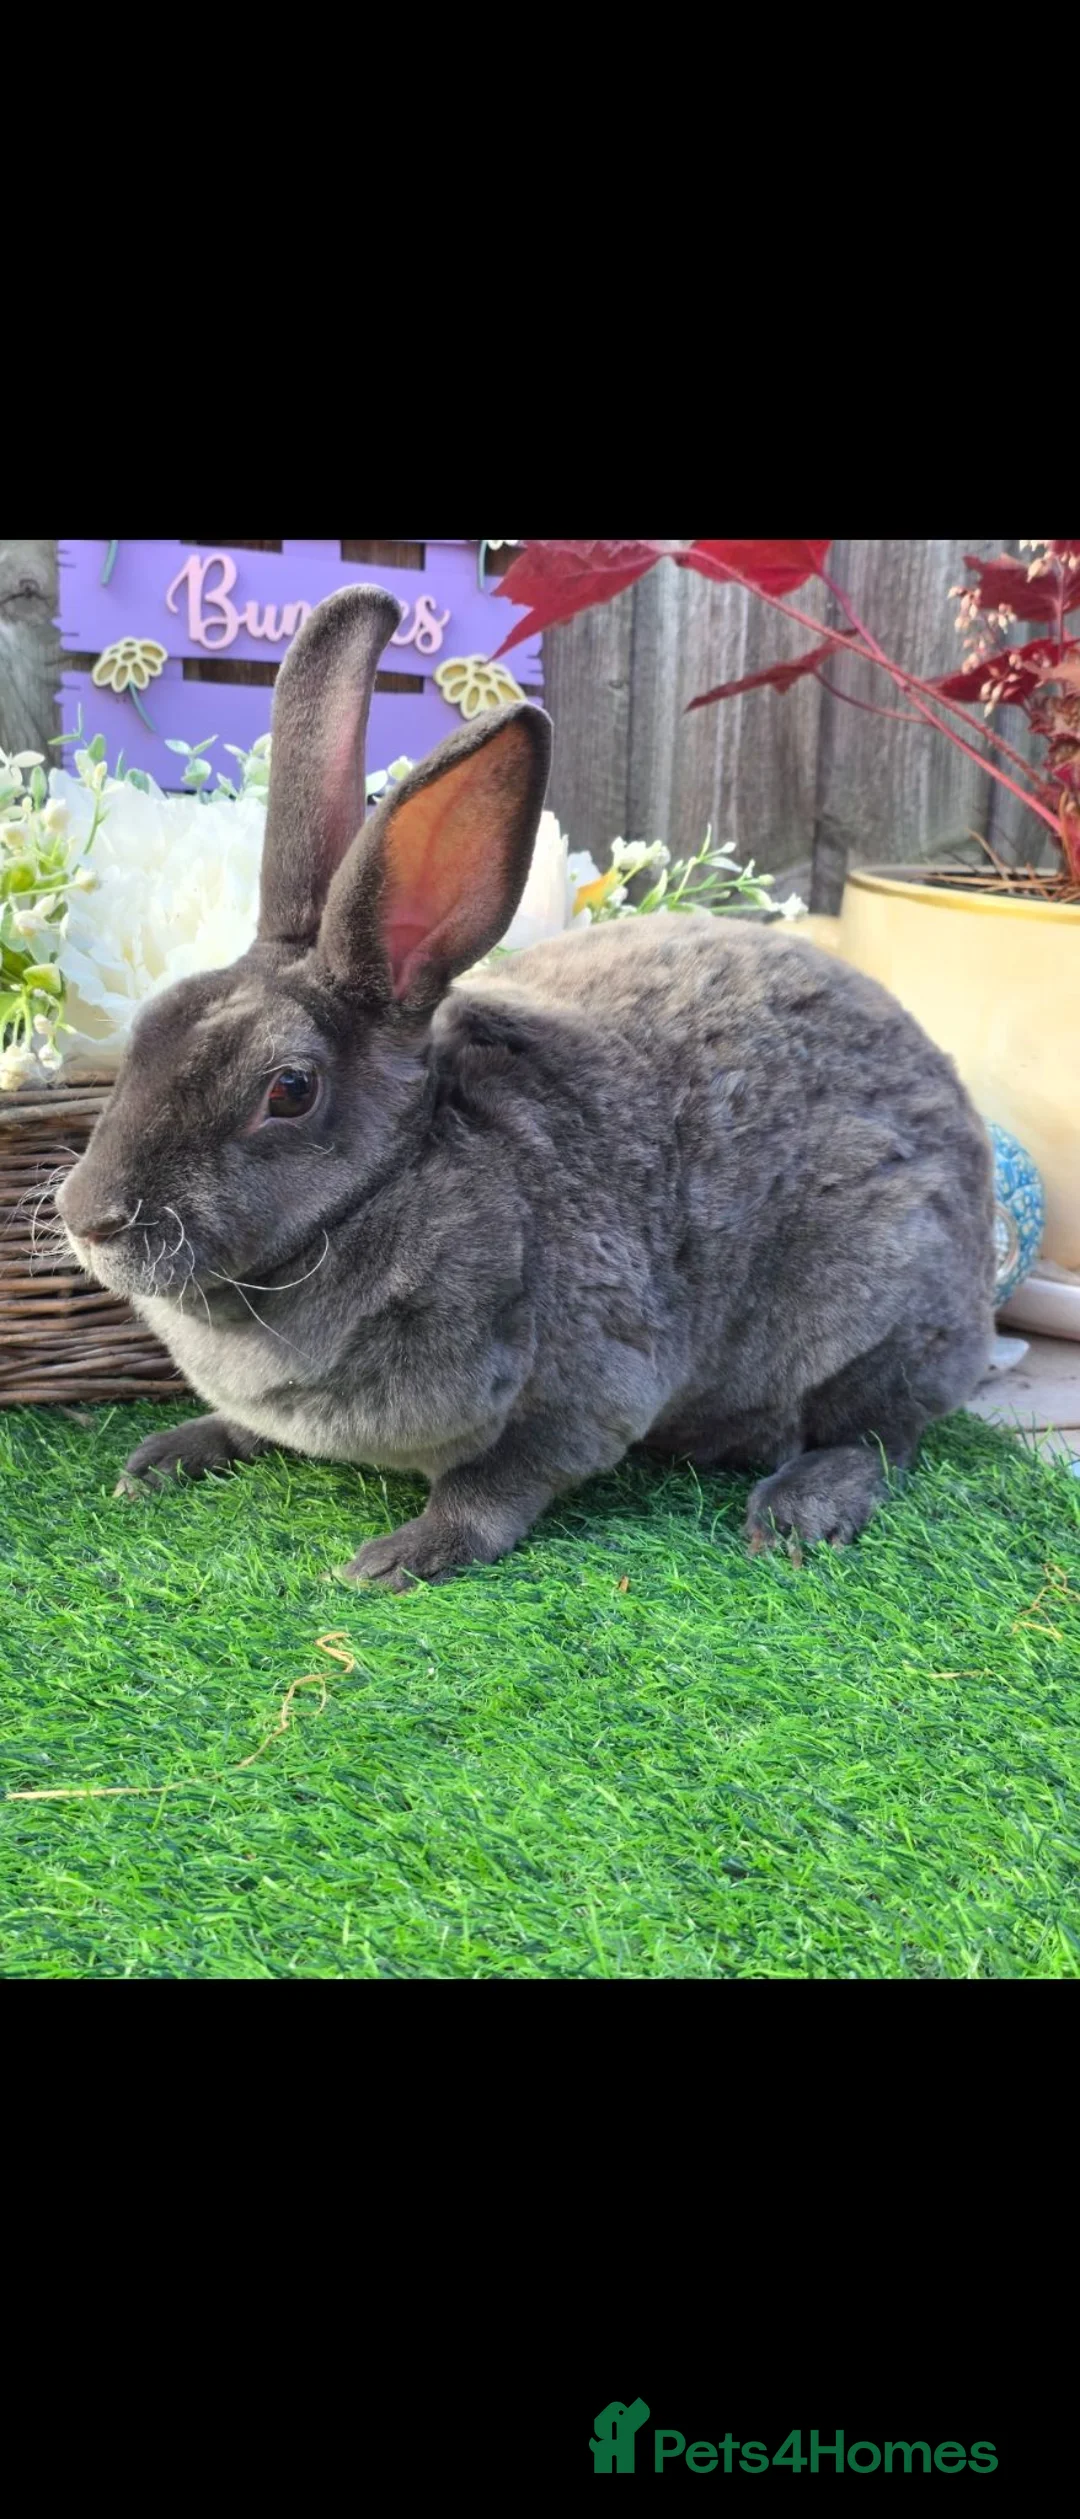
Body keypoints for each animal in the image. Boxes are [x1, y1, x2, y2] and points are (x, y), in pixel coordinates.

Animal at [55, 583, 996, 1590]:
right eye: (150, 1026)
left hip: (879, 1305)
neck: (391, 1187)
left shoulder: (588, 1387)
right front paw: (165, 1456)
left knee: (879, 1435)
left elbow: (497, 1484)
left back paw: (797, 1512)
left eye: (290, 1089)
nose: (87, 1217)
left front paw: (398, 1558)